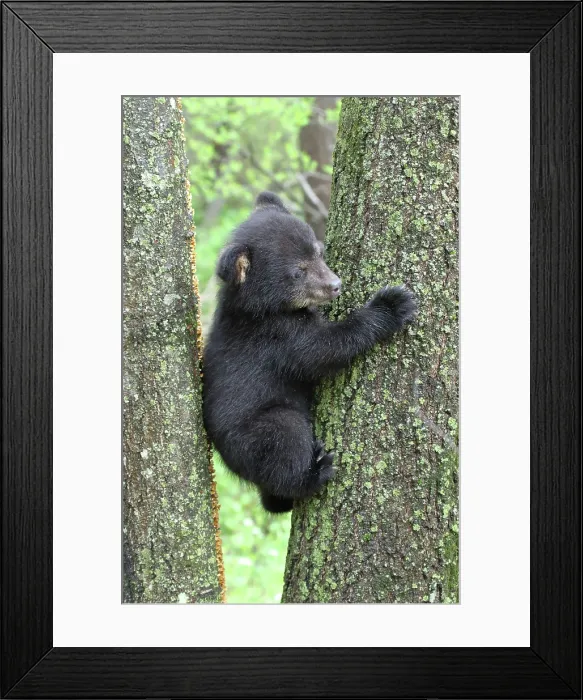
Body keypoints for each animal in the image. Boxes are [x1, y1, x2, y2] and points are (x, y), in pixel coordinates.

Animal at [202, 191, 417, 513]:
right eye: (297, 272)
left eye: (318, 251)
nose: (335, 285)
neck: (262, 308)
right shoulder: (277, 337)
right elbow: (324, 348)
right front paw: (392, 305)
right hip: (257, 431)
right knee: (285, 441)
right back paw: (315, 472)